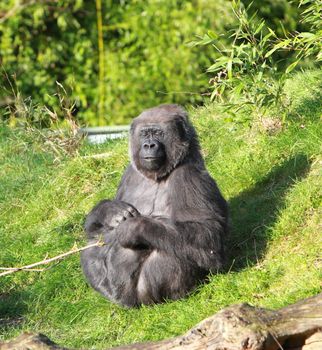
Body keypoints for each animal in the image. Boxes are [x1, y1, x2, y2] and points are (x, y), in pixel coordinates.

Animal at [80, 104, 228, 306]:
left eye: (158, 133)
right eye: (144, 134)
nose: (149, 145)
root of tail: (125, 303)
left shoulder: (189, 175)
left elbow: (208, 234)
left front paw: (133, 228)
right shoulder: (129, 172)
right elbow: (94, 228)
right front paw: (110, 211)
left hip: (142, 297)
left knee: (174, 249)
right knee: (93, 240)